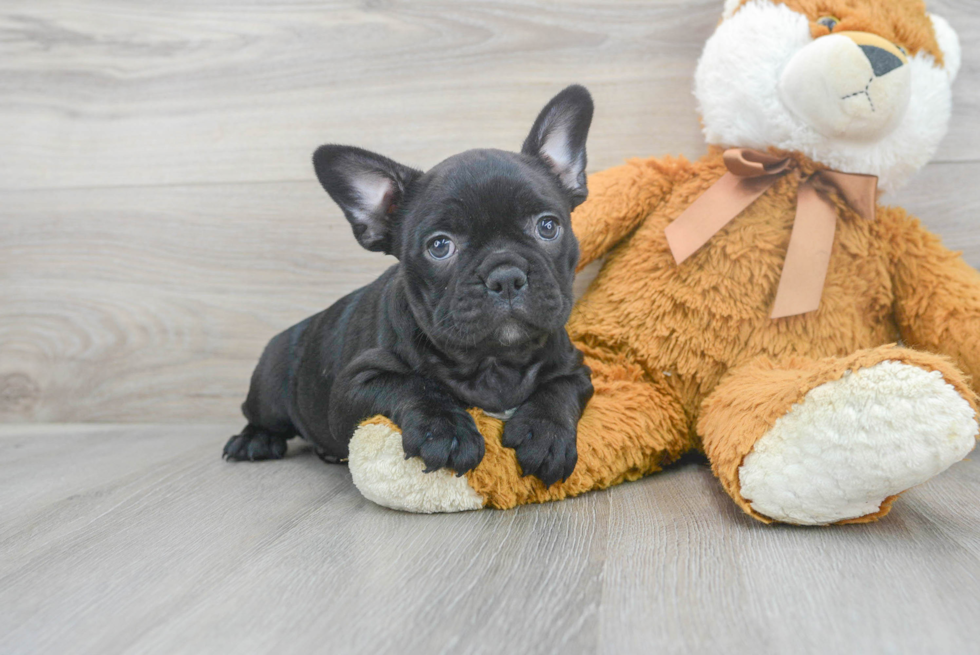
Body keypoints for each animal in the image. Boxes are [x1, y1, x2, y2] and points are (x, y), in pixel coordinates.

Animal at [228, 86, 596, 486]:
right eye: (440, 246)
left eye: (548, 226)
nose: (505, 276)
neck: (493, 361)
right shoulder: (352, 387)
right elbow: (412, 385)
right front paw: (446, 429)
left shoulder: (577, 369)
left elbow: (558, 389)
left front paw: (545, 433)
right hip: (269, 388)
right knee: (260, 416)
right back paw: (254, 441)